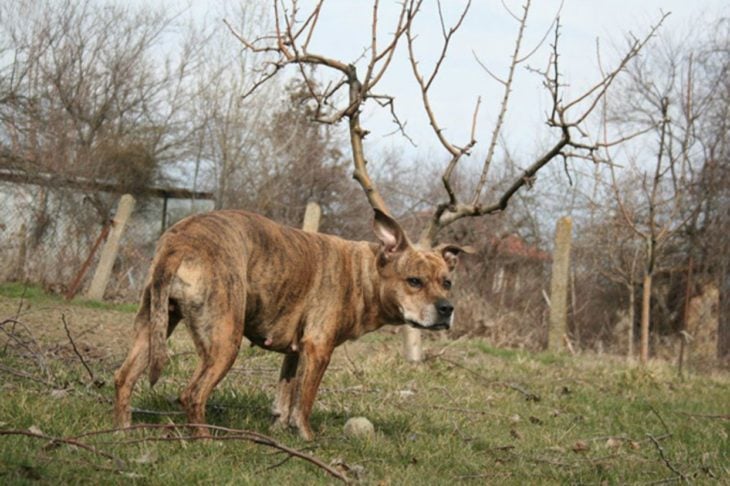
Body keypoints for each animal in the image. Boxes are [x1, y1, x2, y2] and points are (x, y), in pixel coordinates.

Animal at [114, 209, 466, 440]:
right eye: (415, 281)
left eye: (447, 283)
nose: (447, 309)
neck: (364, 274)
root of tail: (182, 242)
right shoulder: (318, 350)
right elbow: (304, 400)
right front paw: (306, 437)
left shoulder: (296, 352)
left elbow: (285, 394)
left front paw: (279, 428)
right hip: (224, 343)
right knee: (193, 393)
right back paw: (205, 441)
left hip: (153, 326)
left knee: (124, 377)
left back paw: (123, 431)